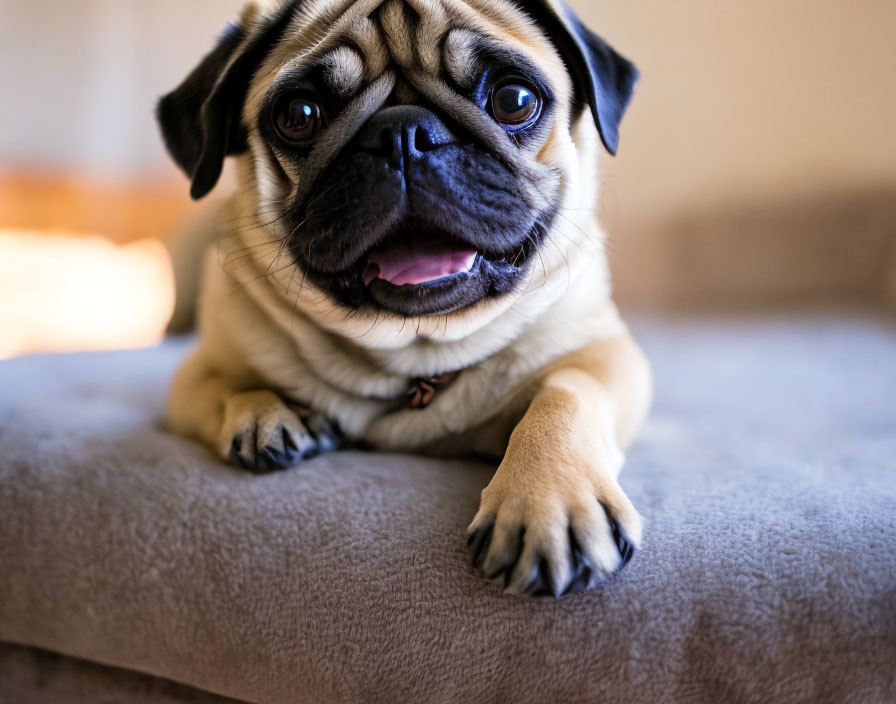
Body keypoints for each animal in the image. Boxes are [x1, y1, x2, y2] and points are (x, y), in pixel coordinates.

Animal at [158, 0, 652, 596]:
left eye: (514, 100)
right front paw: (264, 412)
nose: (403, 133)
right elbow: (225, 385)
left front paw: (549, 498)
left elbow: (568, 392)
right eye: (299, 114)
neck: (414, 353)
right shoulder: (196, 373)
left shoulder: (607, 355)